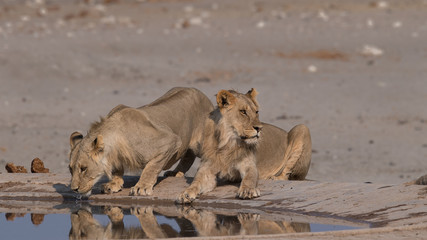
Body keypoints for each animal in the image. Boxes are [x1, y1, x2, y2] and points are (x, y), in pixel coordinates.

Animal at [69, 87, 214, 196]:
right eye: (70, 169)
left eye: (83, 168)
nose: (74, 189)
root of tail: (204, 96)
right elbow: (117, 169)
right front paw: (113, 184)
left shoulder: (170, 141)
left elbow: (151, 167)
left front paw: (142, 187)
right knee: (188, 155)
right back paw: (175, 173)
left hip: (201, 143)